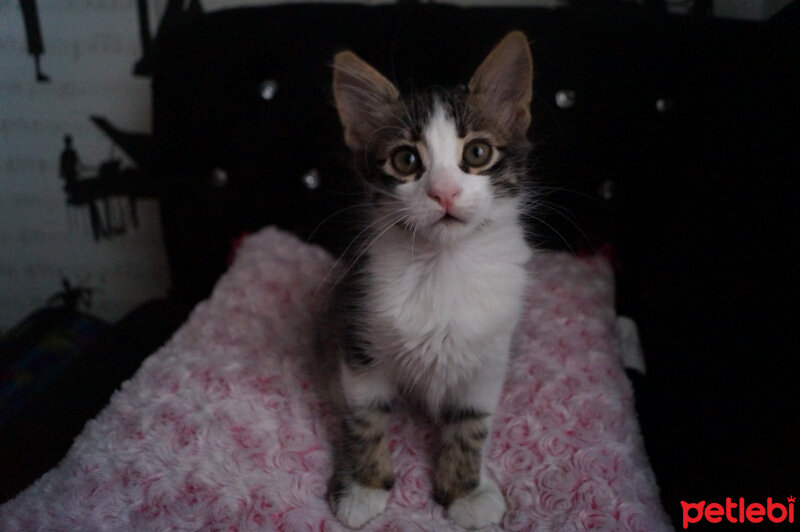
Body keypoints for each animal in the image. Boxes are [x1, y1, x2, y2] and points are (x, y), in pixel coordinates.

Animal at [322, 32, 536, 528]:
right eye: (406, 160)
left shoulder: (490, 355)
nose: (444, 192)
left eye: (477, 153)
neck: (443, 265)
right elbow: (365, 417)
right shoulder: (360, 338)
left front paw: (466, 490)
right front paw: (364, 485)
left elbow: (473, 424)